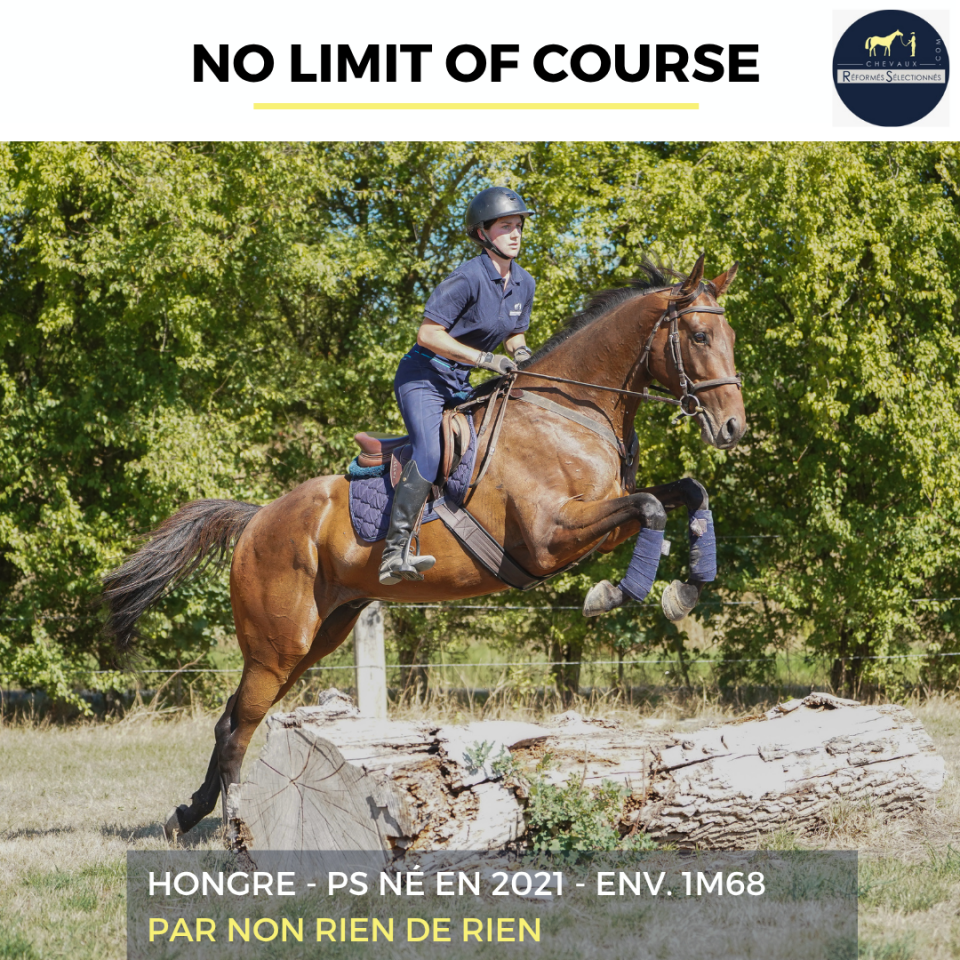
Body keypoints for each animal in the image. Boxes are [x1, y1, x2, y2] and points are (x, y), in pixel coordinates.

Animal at [100, 253, 746, 842]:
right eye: (699, 336)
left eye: (730, 336)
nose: (733, 428)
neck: (569, 413)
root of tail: (259, 518)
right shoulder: (550, 538)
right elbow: (653, 506)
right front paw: (618, 593)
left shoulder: (602, 520)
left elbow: (686, 491)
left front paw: (688, 586)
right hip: (278, 644)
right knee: (238, 728)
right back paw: (232, 828)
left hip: (317, 635)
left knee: (230, 717)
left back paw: (188, 816)